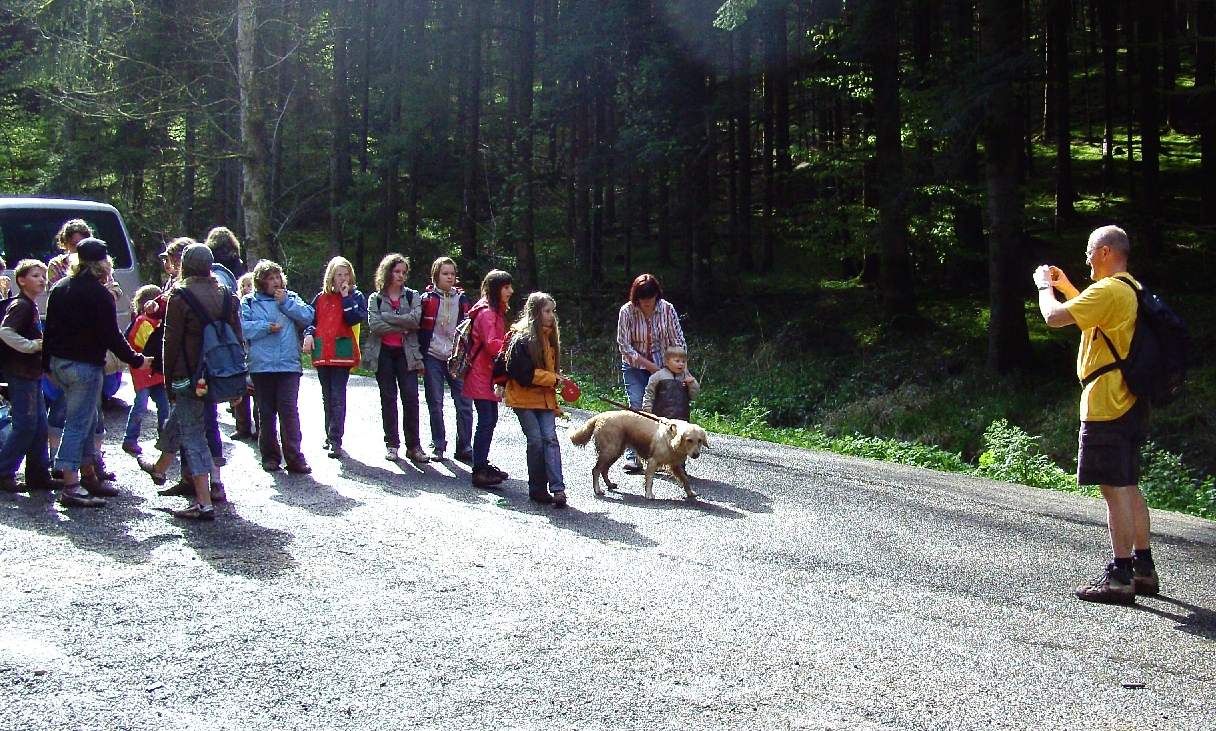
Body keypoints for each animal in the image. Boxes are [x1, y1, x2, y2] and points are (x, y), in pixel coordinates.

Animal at [568, 410, 708, 500]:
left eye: (700, 440)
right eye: (689, 440)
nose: (696, 454)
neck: (672, 437)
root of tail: (601, 415)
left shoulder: (675, 465)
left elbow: (685, 479)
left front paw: (690, 492)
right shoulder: (653, 461)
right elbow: (650, 479)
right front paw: (649, 494)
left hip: (615, 452)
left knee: (604, 470)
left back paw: (610, 484)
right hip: (610, 451)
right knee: (596, 470)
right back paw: (597, 490)